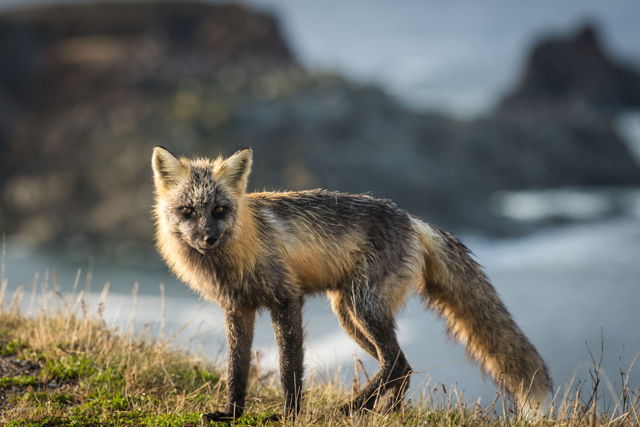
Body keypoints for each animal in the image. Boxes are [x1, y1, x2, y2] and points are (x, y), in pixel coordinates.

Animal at [151, 146, 552, 421]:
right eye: (188, 211)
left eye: (220, 210)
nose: (208, 238)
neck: (237, 255)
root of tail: (413, 220)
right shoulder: (237, 308)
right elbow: (236, 370)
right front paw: (231, 414)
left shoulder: (286, 300)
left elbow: (289, 368)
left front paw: (290, 416)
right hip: (349, 315)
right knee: (402, 366)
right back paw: (385, 413)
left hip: (363, 308)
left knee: (394, 363)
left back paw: (350, 409)